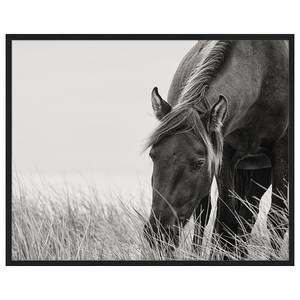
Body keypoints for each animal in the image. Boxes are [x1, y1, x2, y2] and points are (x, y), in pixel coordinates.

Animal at [144, 38, 290, 256]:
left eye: (198, 163)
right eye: (153, 155)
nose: (158, 233)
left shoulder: (283, 154)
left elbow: (277, 218)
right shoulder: (225, 156)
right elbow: (226, 221)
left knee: (248, 215)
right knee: (207, 214)